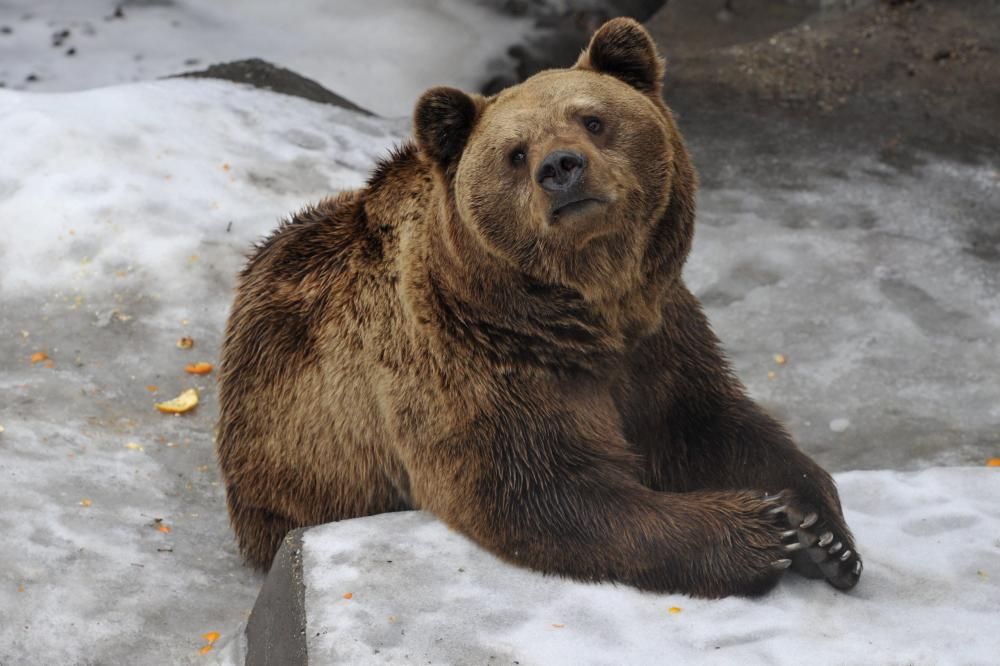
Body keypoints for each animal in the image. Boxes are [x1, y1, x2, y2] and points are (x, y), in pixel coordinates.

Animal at [217, 16, 860, 596]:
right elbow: (543, 489)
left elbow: (715, 423)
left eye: (593, 119)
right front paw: (759, 531)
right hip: (292, 463)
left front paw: (822, 533)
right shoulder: (477, 364)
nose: (561, 167)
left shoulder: (661, 337)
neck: (591, 310)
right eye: (516, 152)